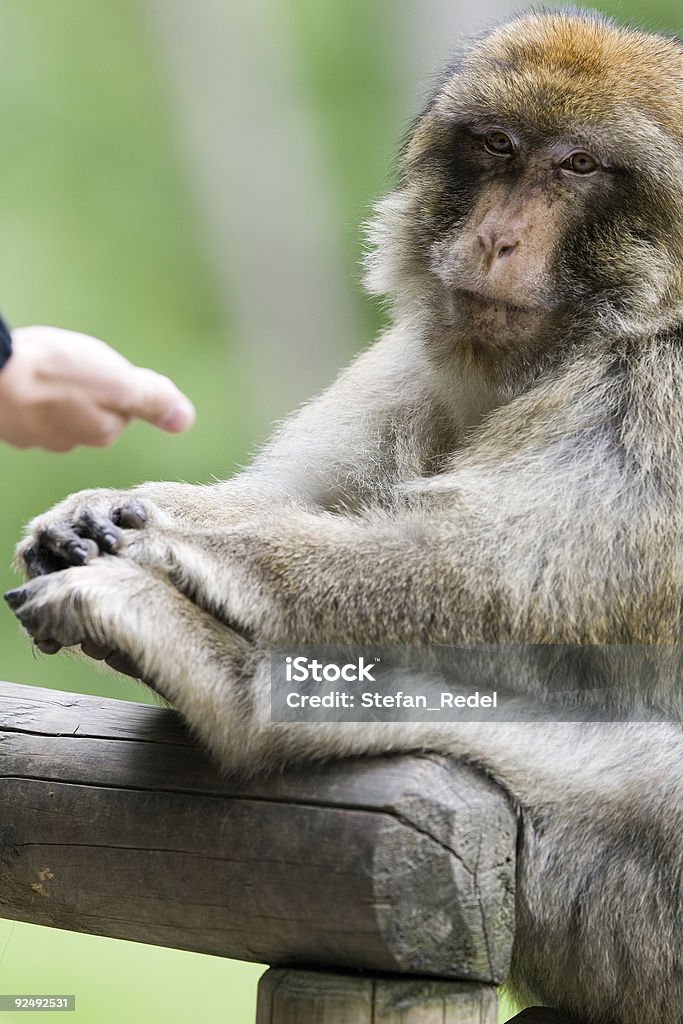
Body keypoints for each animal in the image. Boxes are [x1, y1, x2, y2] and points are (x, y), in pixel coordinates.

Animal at [5, 8, 683, 1023]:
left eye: (576, 166)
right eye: (497, 147)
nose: (495, 239)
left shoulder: (661, 398)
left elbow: (496, 578)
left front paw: (169, 539)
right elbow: (316, 499)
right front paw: (104, 510)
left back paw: (232, 690)